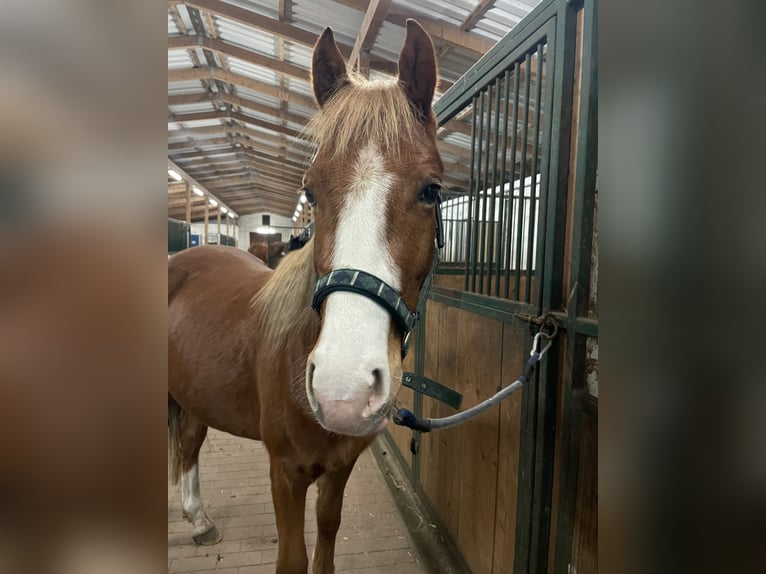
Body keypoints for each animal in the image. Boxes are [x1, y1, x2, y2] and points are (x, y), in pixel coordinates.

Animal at [168, 20, 443, 574]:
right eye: (311, 191)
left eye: (432, 190)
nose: (344, 389)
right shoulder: (285, 472)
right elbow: (293, 557)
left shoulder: (340, 469)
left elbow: (328, 536)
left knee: (189, 443)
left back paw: (200, 520)